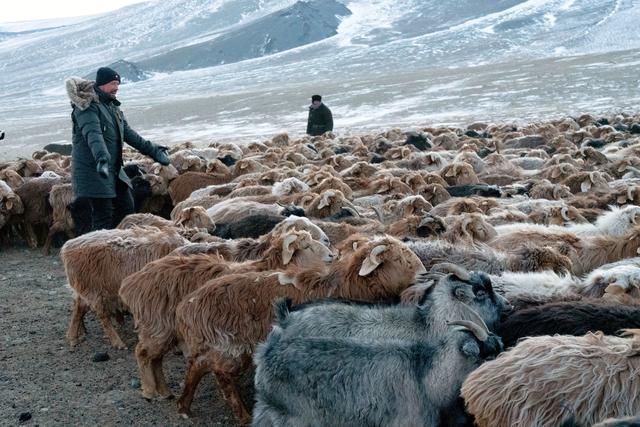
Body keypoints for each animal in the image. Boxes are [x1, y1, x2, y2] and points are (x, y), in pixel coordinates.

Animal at [60, 226, 189, 350]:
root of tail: (68, 246)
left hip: (89, 290)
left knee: (79, 307)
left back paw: (73, 337)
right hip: (95, 292)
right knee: (101, 316)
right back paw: (117, 342)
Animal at [172, 236, 428, 422]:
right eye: (399, 259)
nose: (425, 273)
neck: (348, 283)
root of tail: (186, 307)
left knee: (199, 365)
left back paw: (184, 406)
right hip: (230, 346)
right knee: (221, 374)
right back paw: (241, 415)